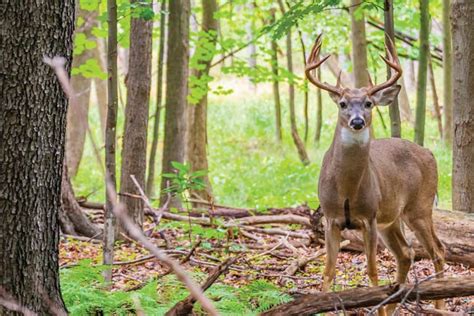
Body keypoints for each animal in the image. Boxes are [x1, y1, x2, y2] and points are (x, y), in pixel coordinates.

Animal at [306, 35, 446, 314]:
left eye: (368, 103)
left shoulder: (369, 217)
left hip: (420, 207)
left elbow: (372, 271)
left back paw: (440, 305)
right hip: (391, 219)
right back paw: (392, 306)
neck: (346, 190)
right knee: (406, 253)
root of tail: (429, 152)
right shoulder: (331, 217)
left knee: (437, 250)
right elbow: (328, 271)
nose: (358, 121)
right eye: (342, 104)